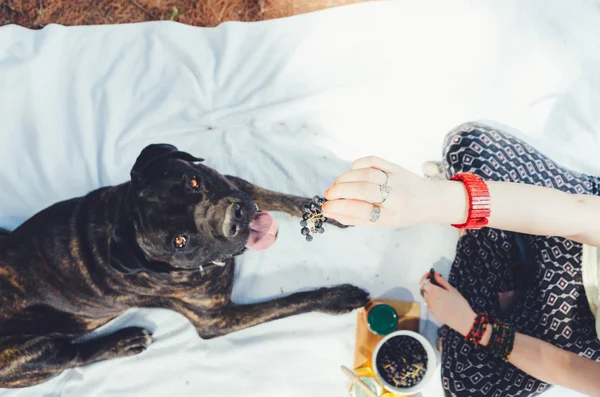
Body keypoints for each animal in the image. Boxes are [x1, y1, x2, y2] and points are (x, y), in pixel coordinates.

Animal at [0, 144, 370, 386]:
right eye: (180, 241)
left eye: (194, 181)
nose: (233, 220)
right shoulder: (217, 319)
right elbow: (290, 302)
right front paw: (337, 297)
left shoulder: (237, 184)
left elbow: (283, 198)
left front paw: (335, 208)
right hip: (28, 354)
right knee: (70, 355)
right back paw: (125, 341)